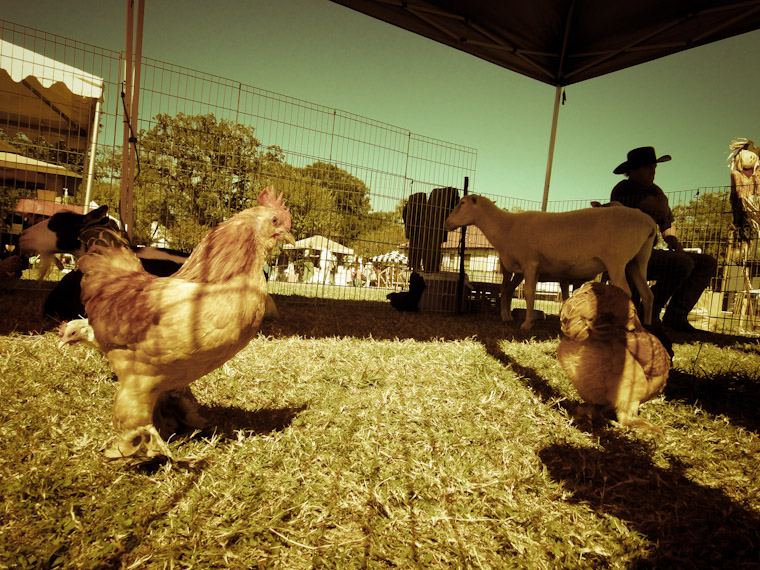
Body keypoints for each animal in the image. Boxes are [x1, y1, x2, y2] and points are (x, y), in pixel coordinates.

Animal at [442, 194, 656, 328]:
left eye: (462, 203)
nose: (446, 223)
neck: (507, 227)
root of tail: (650, 223)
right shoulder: (521, 268)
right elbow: (511, 291)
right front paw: (510, 317)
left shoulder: (529, 263)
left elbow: (529, 293)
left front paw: (527, 324)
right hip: (638, 261)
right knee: (647, 294)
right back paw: (647, 325)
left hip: (616, 260)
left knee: (627, 292)